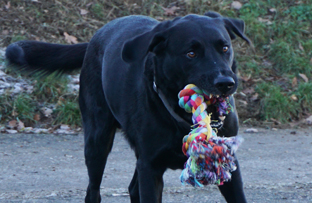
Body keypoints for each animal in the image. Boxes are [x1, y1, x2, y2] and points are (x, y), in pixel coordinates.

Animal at [5, 11, 251, 203]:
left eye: (224, 48)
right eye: (191, 53)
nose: (226, 83)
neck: (182, 116)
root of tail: (98, 34)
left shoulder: (227, 161)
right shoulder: (150, 168)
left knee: (132, 188)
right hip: (97, 140)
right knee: (93, 191)